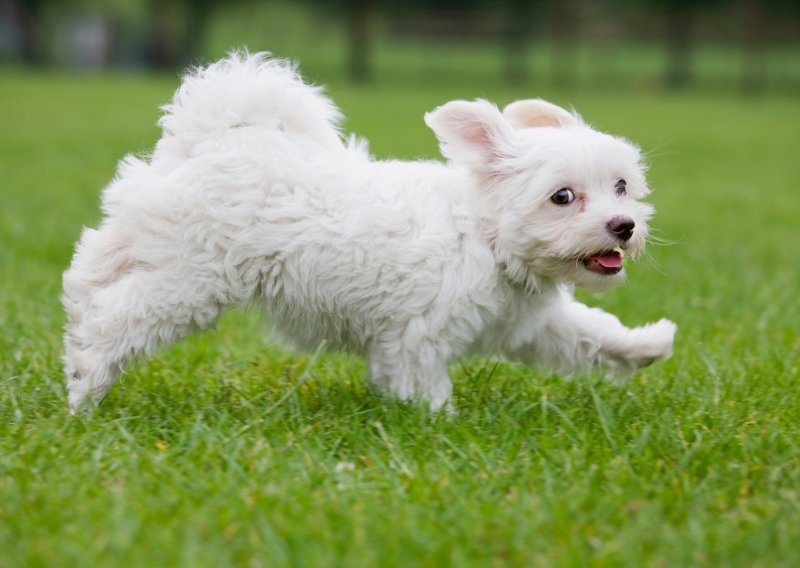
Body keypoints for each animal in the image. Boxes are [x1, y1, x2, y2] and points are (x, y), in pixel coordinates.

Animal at [61, 51, 676, 410]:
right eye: (563, 197)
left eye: (621, 186)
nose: (623, 225)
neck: (486, 237)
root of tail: (206, 139)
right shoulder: (415, 340)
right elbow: (427, 389)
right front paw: (443, 426)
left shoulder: (529, 326)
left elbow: (590, 335)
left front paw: (646, 345)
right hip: (192, 280)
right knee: (118, 316)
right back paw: (86, 385)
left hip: (150, 243)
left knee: (91, 271)